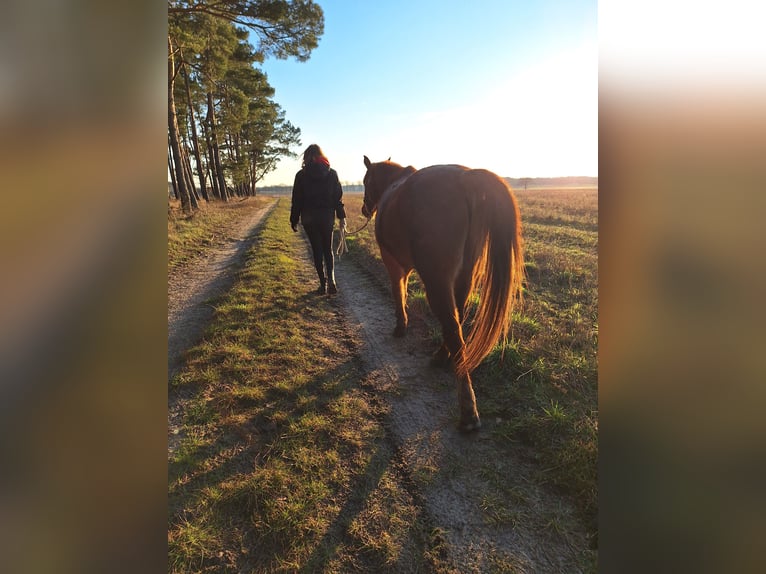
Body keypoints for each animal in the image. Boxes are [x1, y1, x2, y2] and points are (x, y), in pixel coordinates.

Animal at [364, 158, 524, 432]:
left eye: (365, 181)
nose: (365, 208)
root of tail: (465, 178)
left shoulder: (392, 262)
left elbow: (398, 291)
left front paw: (400, 325)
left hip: (437, 282)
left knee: (453, 329)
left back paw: (468, 412)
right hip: (462, 278)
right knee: (455, 323)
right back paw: (443, 358)